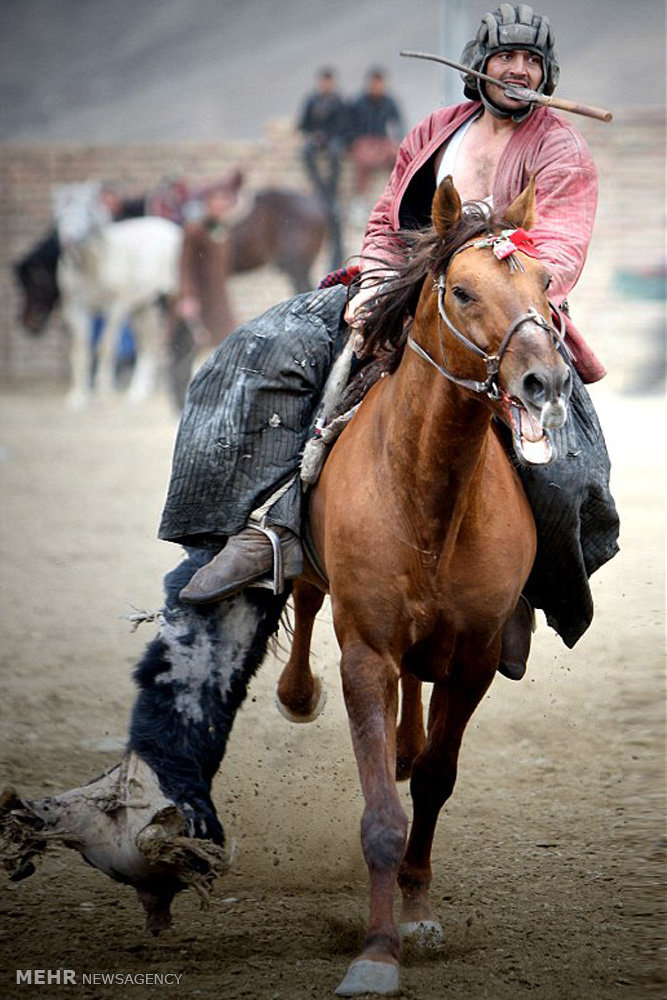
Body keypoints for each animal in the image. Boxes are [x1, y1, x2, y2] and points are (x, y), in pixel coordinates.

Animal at [52, 182, 183, 408]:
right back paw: (138, 391)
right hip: (143, 306)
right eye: (60, 214)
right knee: (148, 345)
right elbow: (80, 350)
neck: (91, 266)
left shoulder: (116, 306)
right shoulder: (75, 308)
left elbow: (105, 346)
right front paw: (78, 395)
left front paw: (103, 393)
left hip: (169, 300)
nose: (68, 240)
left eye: (87, 212)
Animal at [280, 176, 572, 996]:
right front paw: (377, 953)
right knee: (306, 602)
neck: (427, 494)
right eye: (464, 291)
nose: (544, 381)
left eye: (545, 283)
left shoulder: (475, 656)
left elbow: (436, 780)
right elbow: (382, 811)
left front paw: (415, 915)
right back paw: (296, 692)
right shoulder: (365, 653)